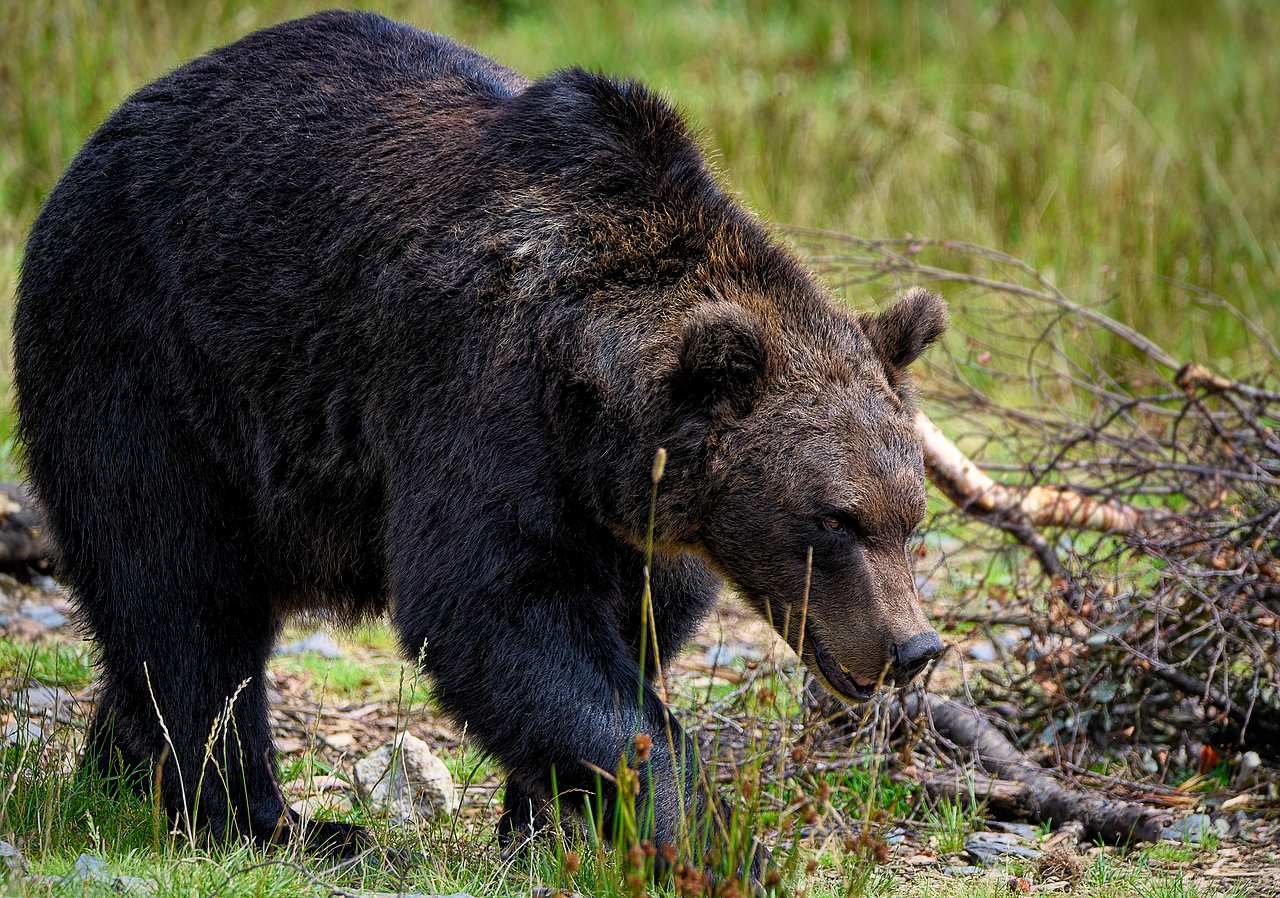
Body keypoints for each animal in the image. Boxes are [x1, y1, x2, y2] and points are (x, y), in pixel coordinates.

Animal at [13, 9, 946, 870]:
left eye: (911, 518)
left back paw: (116, 769)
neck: (593, 400)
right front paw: (710, 841)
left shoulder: (625, 506)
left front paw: (550, 823)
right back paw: (271, 819)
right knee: (180, 586)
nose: (914, 647)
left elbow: (636, 621)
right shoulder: (478, 391)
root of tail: (101, 137)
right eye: (833, 519)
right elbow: (496, 607)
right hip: (148, 357)